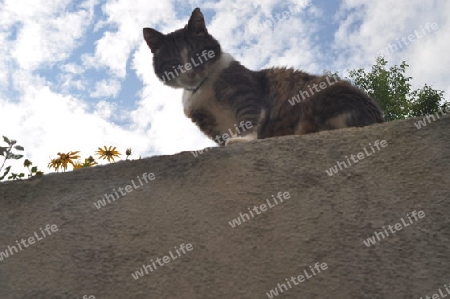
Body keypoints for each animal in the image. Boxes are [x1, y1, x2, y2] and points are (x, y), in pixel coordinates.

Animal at [143, 8, 384, 146]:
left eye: (199, 54)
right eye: (174, 62)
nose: (191, 72)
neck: (203, 88)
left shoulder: (245, 92)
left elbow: (248, 117)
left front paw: (243, 139)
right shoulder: (208, 122)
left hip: (324, 94)